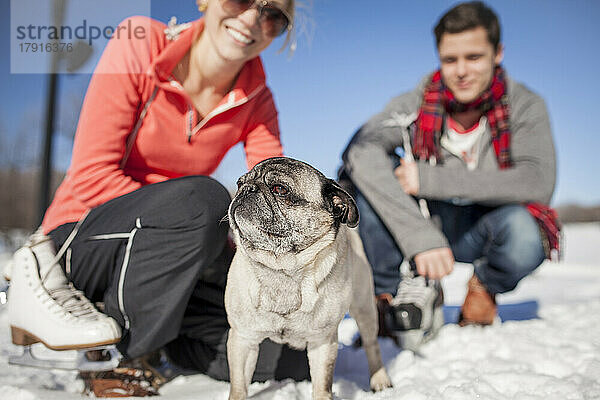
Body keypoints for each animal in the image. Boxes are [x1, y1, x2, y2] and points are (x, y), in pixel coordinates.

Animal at [225, 156, 394, 400]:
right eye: (240, 183)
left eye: (280, 189)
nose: (246, 189)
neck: (283, 270)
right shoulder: (243, 339)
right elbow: (239, 387)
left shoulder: (321, 342)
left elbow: (322, 386)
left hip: (364, 309)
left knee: (372, 344)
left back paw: (380, 381)